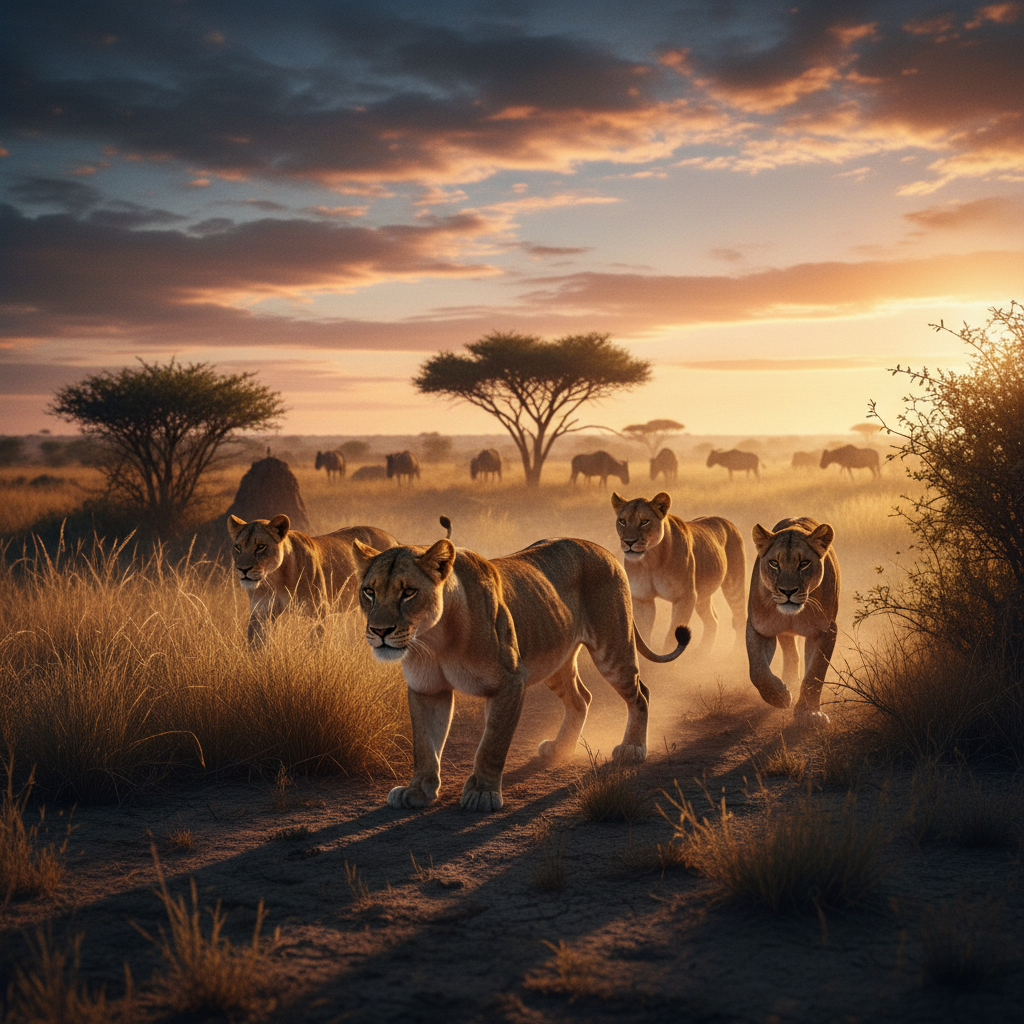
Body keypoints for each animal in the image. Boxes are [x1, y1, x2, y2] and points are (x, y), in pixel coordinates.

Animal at [227, 514, 398, 646]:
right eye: (238, 547)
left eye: (261, 547)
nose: (243, 569)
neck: (275, 578)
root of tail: (394, 539)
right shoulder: (260, 612)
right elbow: (257, 644)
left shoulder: (319, 611)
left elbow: (314, 645)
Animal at [352, 536, 691, 812]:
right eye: (369, 591)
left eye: (408, 592)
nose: (379, 631)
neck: (435, 640)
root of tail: (602, 549)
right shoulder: (427, 690)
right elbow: (425, 745)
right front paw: (418, 791)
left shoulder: (510, 681)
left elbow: (491, 744)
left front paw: (483, 793)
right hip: (553, 658)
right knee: (581, 698)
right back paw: (560, 748)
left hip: (613, 650)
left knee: (640, 694)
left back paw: (633, 749)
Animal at [612, 492, 746, 657]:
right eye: (622, 521)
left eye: (644, 522)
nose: (629, 542)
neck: (650, 559)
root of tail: (727, 521)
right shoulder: (643, 599)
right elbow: (644, 634)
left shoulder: (685, 597)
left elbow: (671, 636)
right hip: (702, 594)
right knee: (712, 620)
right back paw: (702, 653)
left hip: (734, 585)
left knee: (740, 618)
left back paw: (737, 653)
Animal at [746, 517, 840, 724]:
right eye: (774, 563)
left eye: (804, 563)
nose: (787, 592)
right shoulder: (759, 627)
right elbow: (758, 670)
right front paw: (779, 697)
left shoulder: (825, 631)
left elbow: (815, 673)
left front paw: (810, 713)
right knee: (790, 653)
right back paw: (789, 681)